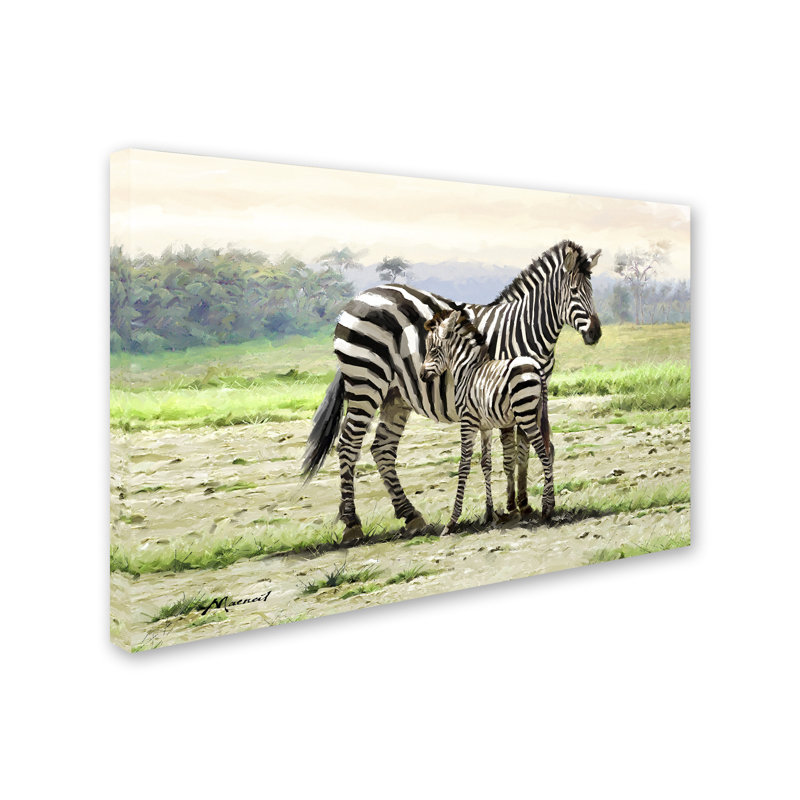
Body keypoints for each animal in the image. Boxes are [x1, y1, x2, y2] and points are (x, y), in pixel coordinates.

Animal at [419, 307, 553, 535]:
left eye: (434, 350)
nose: (421, 376)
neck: (467, 372)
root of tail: (535, 365)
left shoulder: (468, 422)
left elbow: (464, 464)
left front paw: (452, 521)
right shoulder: (485, 427)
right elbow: (486, 464)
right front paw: (490, 513)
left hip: (525, 414)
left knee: (543, 452)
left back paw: (546, 509)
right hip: (537, 412)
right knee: (550, 449)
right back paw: (550, 503)